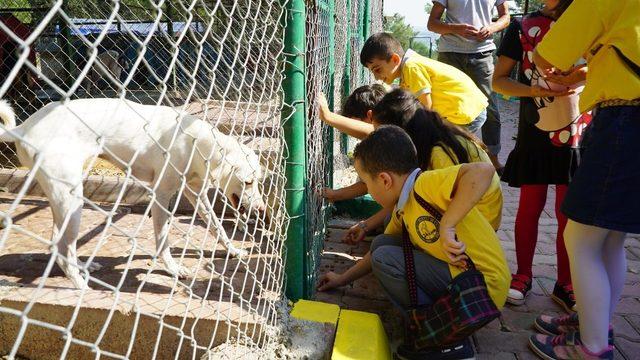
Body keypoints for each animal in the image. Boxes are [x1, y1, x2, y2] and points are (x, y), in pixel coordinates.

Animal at [0, 98, 264, 290]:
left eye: (259, 181)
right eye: (248, 182)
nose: (262, 208)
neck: (197, 143)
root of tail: (23, 128)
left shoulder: (196, 193)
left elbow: (217, 227)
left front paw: (233, 251)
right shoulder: (161, 195)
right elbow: (163, 240)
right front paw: (173, 269)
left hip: (63, 199)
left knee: (61, 243)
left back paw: (85, 267)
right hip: (70, 200)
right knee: (62, 242)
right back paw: (79, 283)